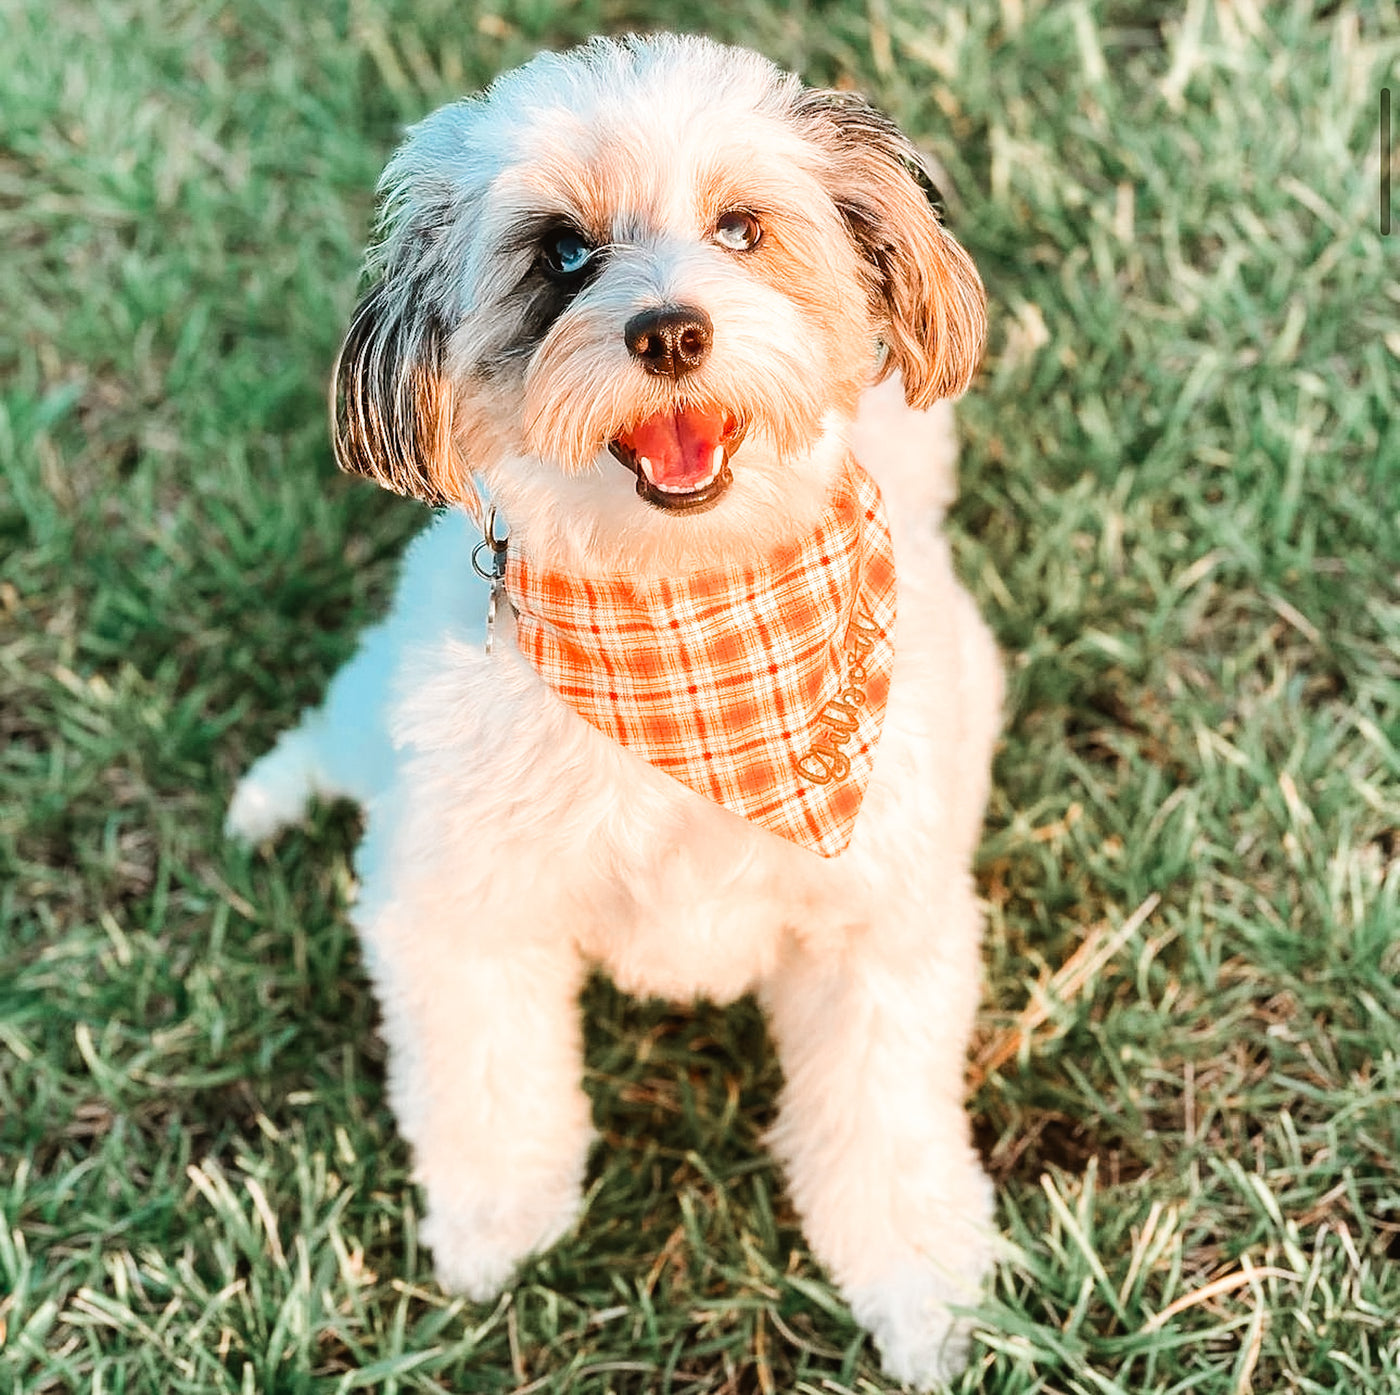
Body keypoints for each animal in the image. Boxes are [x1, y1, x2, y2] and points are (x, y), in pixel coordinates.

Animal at [226, 35, 996, 1395]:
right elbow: (488, 1087)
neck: (689, 628)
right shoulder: (457, 911)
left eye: (741, 228)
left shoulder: (880, 930)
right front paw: (497, 1226)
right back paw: (269, 799)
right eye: (562, 255)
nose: (671, 329)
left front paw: (921, 1289)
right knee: (338, 726)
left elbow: (884, 1129)